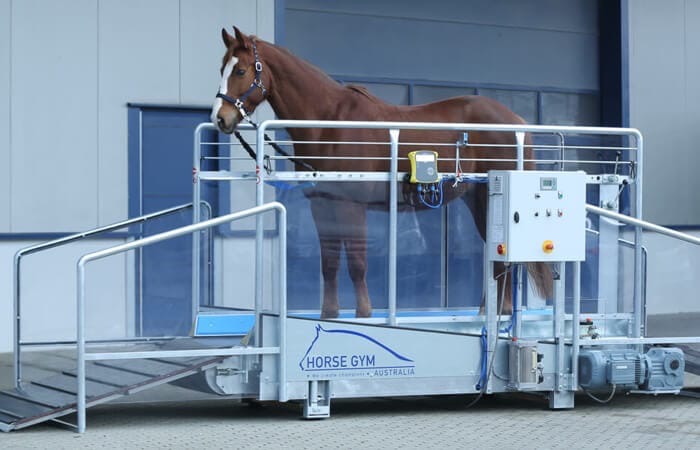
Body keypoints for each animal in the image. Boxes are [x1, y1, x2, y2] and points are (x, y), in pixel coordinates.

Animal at [212, 26, 552, 319]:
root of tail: (516, 120)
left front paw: (364, 314)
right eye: (222, 69)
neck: (329, 123)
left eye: (241, 70)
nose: (220, 118)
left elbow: (356, 263)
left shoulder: (351, 206)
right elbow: (329, 263)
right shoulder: (322, 204)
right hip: (478, 199)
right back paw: (492, 312)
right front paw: (329, 314)